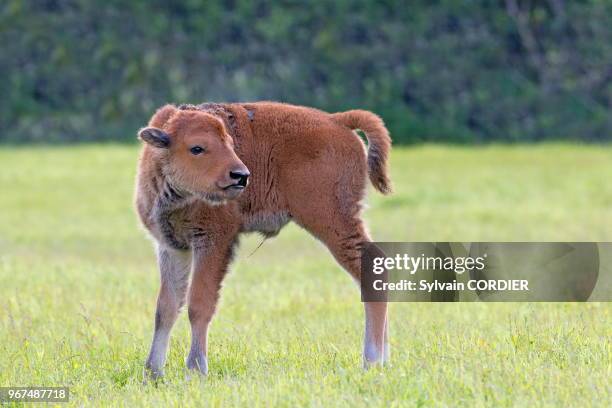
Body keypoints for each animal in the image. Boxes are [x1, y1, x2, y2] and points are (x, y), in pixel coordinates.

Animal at [134, 100, 392, 378]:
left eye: (230, 143)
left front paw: (195, 369)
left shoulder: (213, 243)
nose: (241, 175)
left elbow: (199, 305)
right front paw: (152, 373)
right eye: (197, 148)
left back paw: (372, 361)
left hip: (332, 222)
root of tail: (337, 120)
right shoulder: (172, 247)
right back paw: (384, 359)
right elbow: (166, 308)